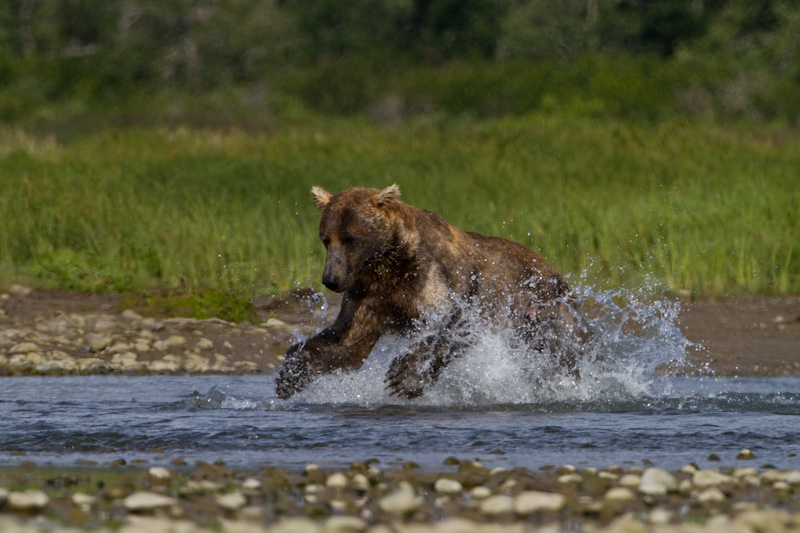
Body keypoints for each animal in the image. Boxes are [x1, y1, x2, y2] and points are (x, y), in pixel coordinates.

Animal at [276, 185, 580, 396]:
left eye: (351, 238)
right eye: (326, 239)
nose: (331, 279)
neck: (391, 264)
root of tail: (551, 267)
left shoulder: (438, 279)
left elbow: (455, 322)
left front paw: (403, 377)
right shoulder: (370, 294)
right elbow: (347, 342)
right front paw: (291, 372)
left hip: (543, 306)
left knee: (565, 349)